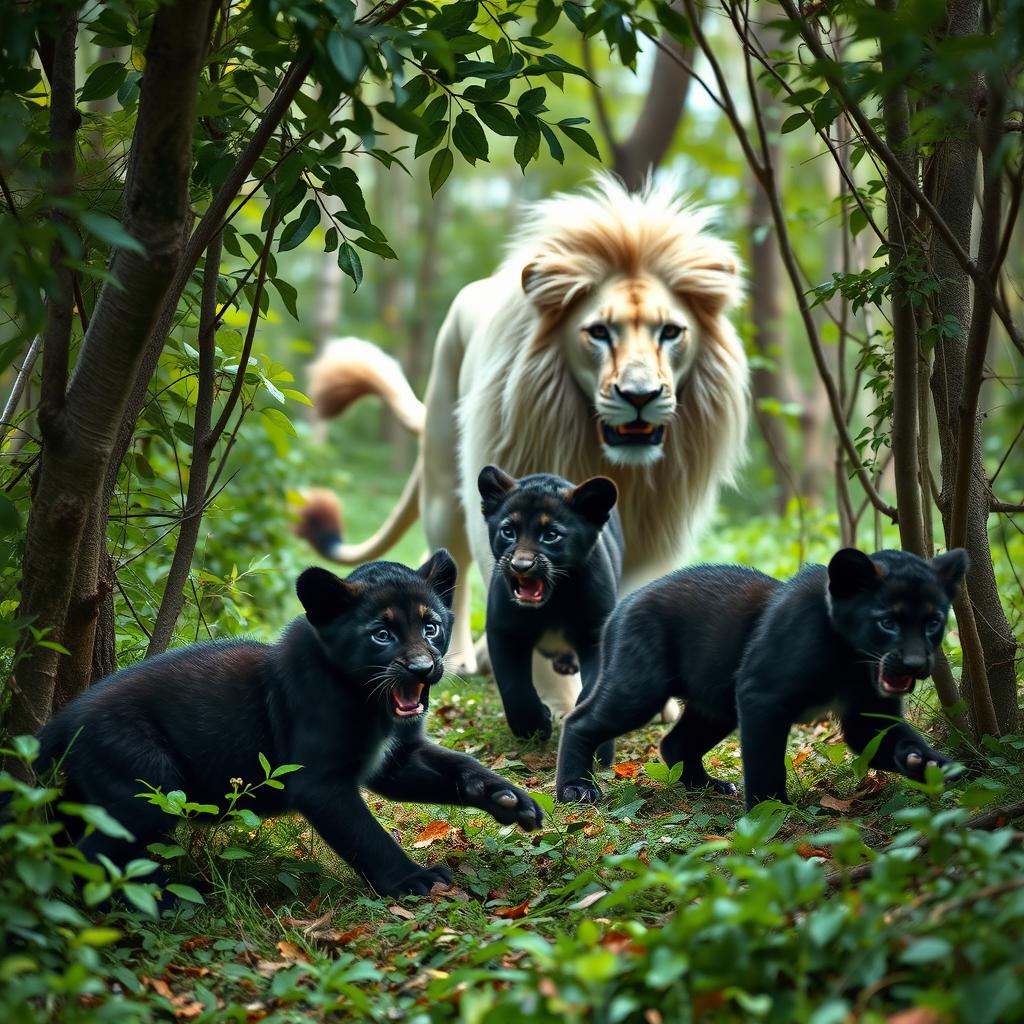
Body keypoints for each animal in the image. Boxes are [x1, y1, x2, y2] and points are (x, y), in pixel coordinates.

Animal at [296, 175, 749, 719]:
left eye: (672, 332)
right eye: (599, 332)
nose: (638, 396)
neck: (613, 461)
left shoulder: (651, 533)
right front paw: (556, 701)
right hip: (444, 478)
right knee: (450, 559)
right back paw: (465, 658)